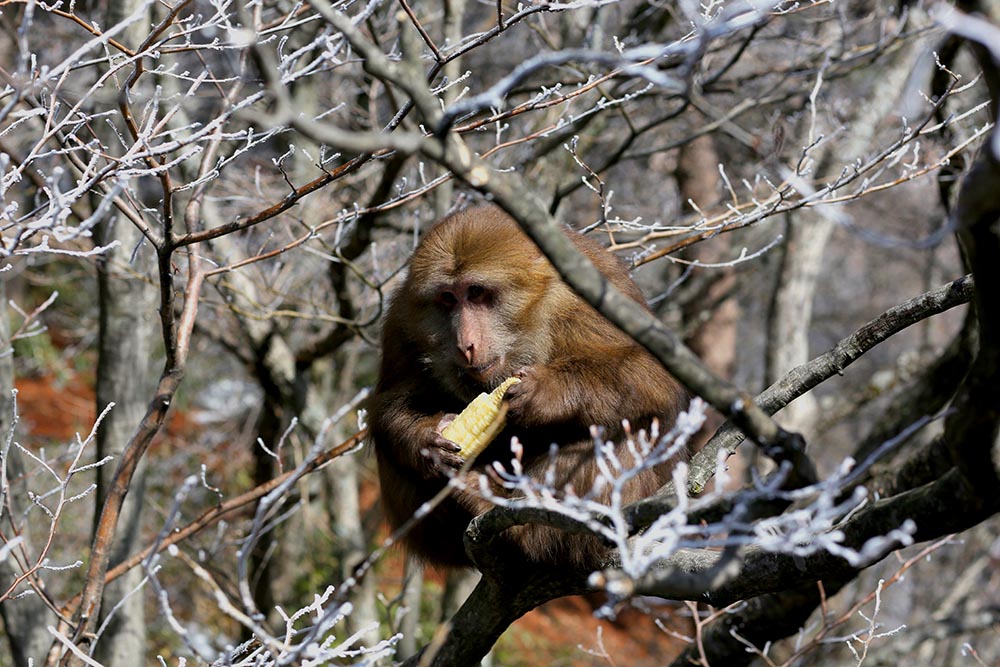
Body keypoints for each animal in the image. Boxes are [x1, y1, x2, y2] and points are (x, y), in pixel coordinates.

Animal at [368, 205, 688, 568]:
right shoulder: (402, 319)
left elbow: (652, 374)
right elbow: (389, 403)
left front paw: (547, 392)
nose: (466, 344)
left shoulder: (585, 298)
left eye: (476, 292)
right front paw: (427, 439)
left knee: (624, 428)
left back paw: (516, 523)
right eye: (448, 298)